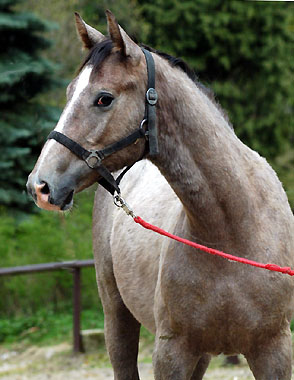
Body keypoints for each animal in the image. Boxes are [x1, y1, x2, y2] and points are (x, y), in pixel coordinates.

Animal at [27, 10, 294, 378]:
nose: (39, 185)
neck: (232, 232)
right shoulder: (172, 353)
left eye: (103, 98)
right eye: (69, 91)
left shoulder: (274, 351)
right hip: (117, 318)